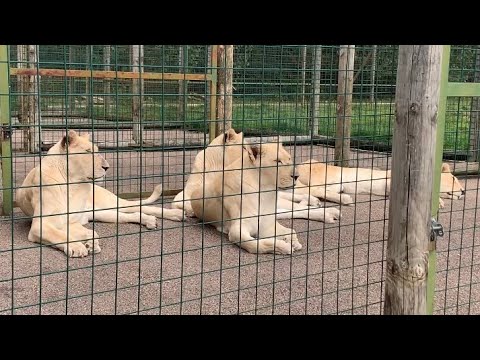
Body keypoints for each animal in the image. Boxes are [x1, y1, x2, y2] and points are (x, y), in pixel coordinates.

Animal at [15, 131, 185, 258]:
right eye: (87, 152)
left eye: (97, 151)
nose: (107, 167)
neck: (73, 184)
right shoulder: (44, 225)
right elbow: (67, 235)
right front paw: (84, 245)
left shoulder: (67, 221)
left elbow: (84, 233)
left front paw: (86, 245)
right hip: (101, 213)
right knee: (131, 214)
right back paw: (150, 220)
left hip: (108, 203)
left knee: (139, 207)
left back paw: (177, 214)